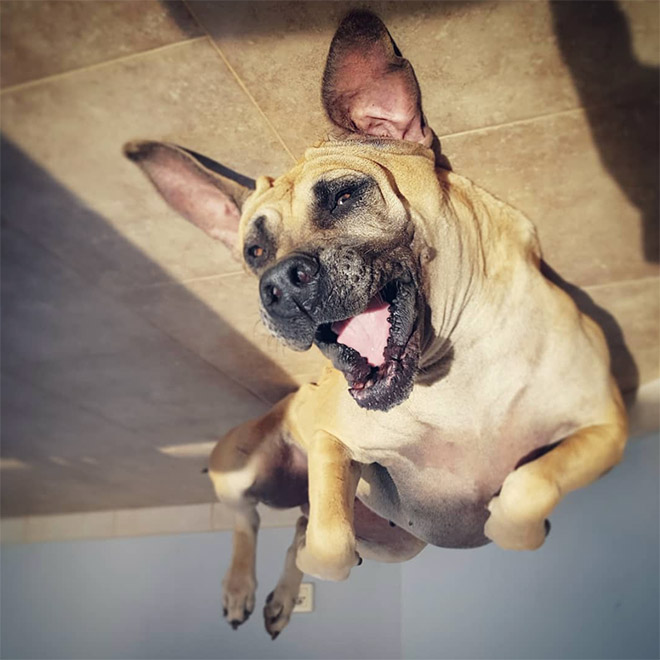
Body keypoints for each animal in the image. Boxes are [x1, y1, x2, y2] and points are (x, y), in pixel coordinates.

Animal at [122, 10, 624, 640]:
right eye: (254, 251)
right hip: (232, 468)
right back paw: (242, 589)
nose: (280, 284)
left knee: (293, 525)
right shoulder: (332, 442)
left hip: (398, 543)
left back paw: (279, 597)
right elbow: (329, 544)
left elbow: (525, 490)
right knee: (254, 522)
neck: (452, 376)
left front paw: (523, 530)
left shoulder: (605, 426)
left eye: (343, 196)